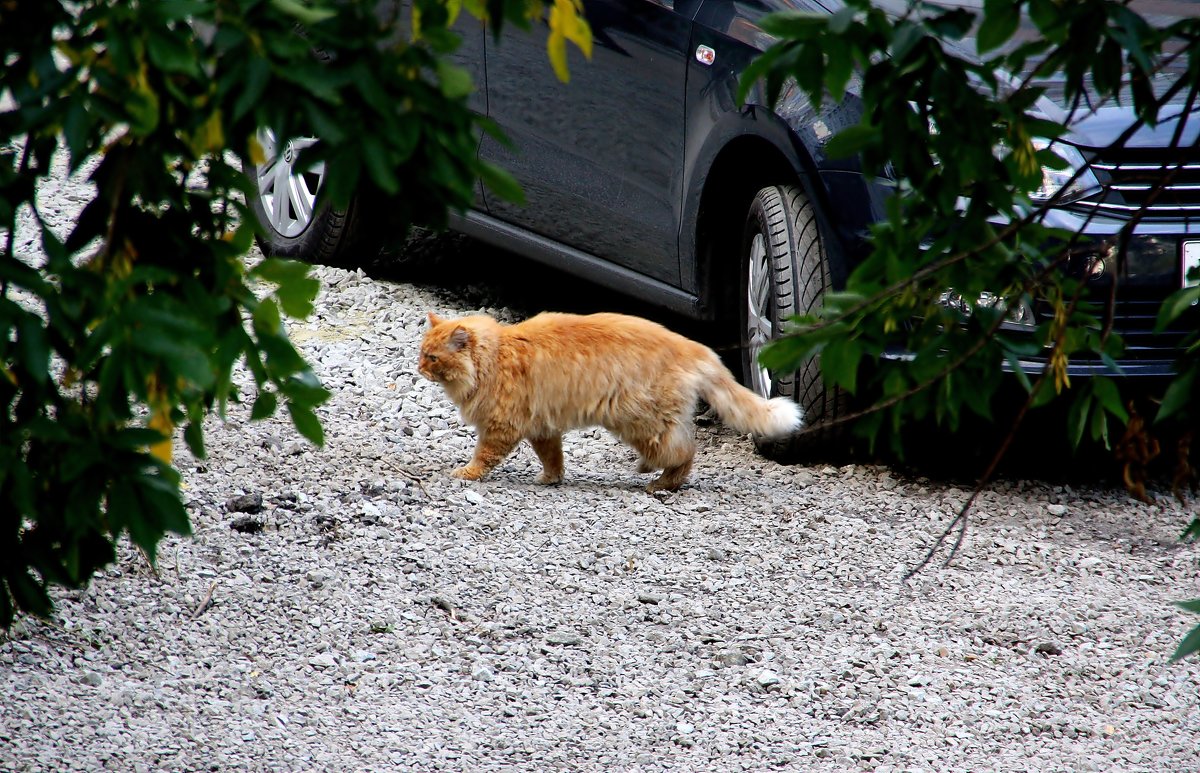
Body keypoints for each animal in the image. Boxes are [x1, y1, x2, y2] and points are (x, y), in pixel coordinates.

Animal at [417, 309, 801, 487]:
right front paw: (551, 478)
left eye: (433, 358)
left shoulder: (501, 426)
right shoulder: (542, 428)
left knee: (684, 452)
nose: (418, 367)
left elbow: (483, 456)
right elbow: (553, 457)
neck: (496, 357)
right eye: (422, 353)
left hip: (639, 422)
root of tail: (693, 346)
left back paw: (660, 482)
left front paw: (466, 473)